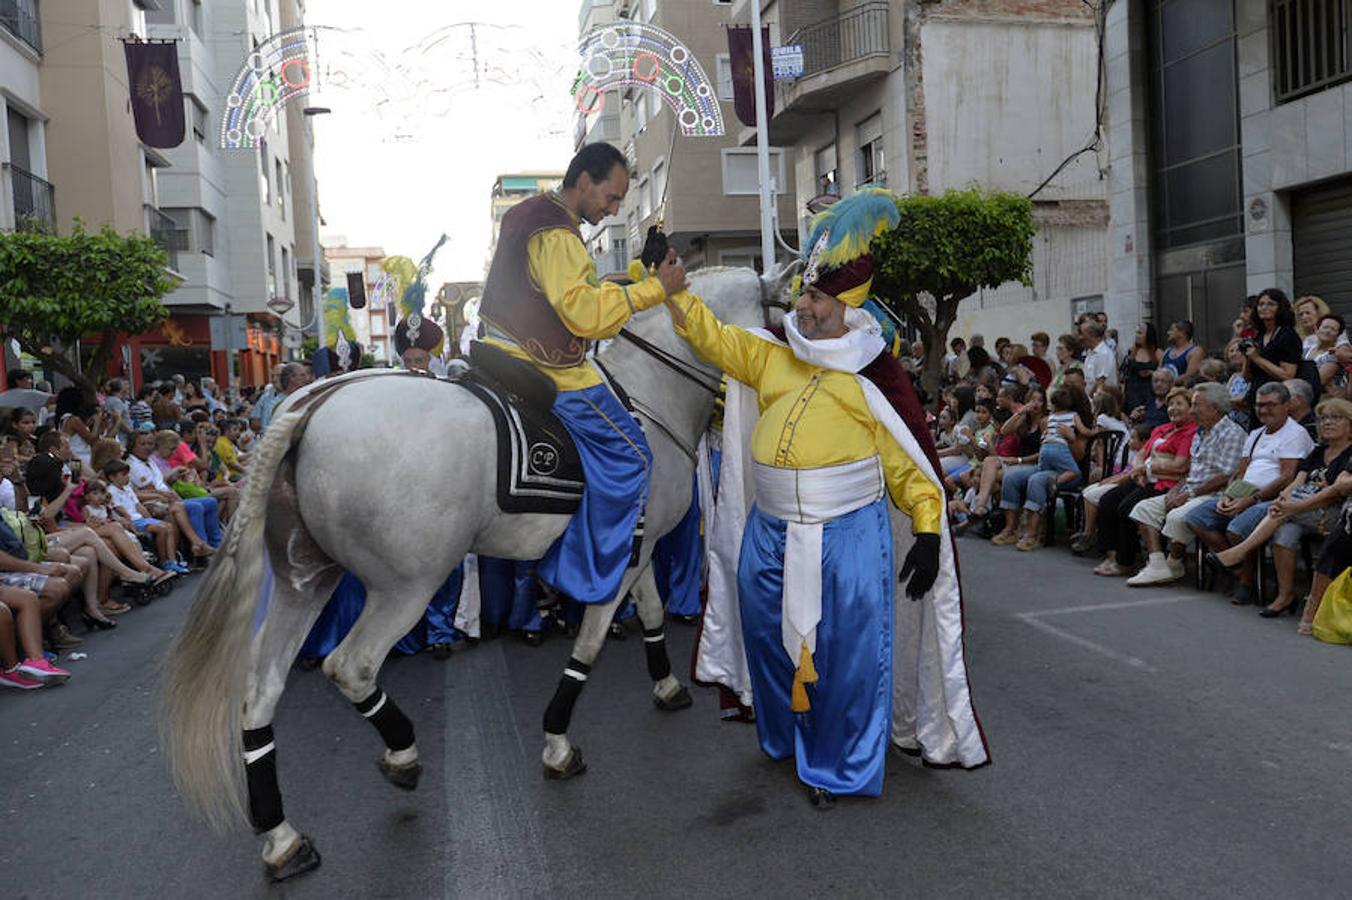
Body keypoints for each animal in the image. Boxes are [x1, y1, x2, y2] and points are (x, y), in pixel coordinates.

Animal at [162, 264, 789, 875]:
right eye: (783, 314)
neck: (650, 395)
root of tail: (314, 404)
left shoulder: (642, 547)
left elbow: (653, 611)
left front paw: (666, 685)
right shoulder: (624, 548)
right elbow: (589, 644)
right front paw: (558, 741)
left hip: (305, 578)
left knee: (259, 690)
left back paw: (282, 836)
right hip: (405, 586)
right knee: (351, 666)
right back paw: (401, 751)